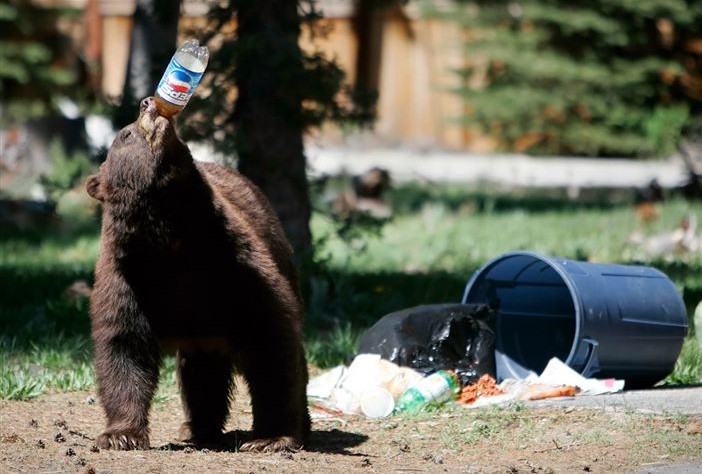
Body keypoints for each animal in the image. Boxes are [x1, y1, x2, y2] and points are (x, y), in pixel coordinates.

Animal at [86, 95, 310, 452]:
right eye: (125, 134)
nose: (147, 103)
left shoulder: (234, 267)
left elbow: (270, 342)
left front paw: (270, 438)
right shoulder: (128, 278)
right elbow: (123, 345)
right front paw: (120, 434)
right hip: (202, 332)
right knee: (201, 372)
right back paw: (197, 428)